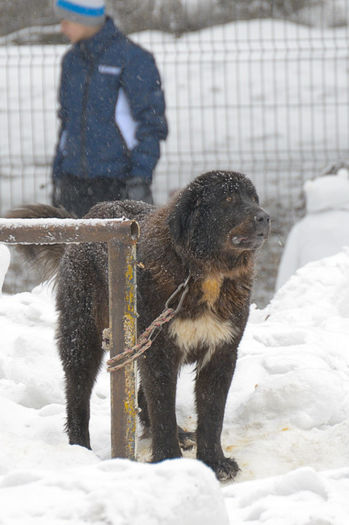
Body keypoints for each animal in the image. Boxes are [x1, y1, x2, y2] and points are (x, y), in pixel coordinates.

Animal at [8, 171, 270, 478]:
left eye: (253, 198)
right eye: (228, 199)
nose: (264, 217)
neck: (200, 272)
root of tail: (90, 214)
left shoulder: (220, 353)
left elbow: (212, 414)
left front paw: (214, 461)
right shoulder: (160, 353)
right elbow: (163, 410)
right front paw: (170, 461)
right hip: (83, 338)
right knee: (77, 394)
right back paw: (80, 449)